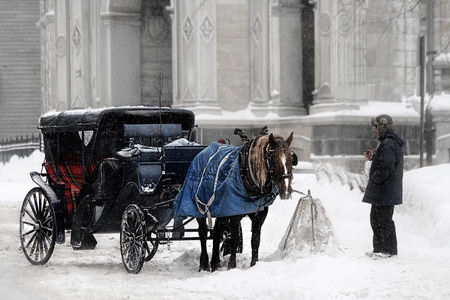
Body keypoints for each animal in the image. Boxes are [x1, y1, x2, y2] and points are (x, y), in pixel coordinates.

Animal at [196, 132, 296, 270]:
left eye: (291, 160)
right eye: (274, 160)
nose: (286, 191)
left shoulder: (259, 216)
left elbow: (255, 239)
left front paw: (254, 264)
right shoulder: (233, 214)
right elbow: (234, 239)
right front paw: (231, 266)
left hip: (221, 210)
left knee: (216, 232)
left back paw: (215, 262)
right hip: (200, 208)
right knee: (203, 232)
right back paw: (204, 262)